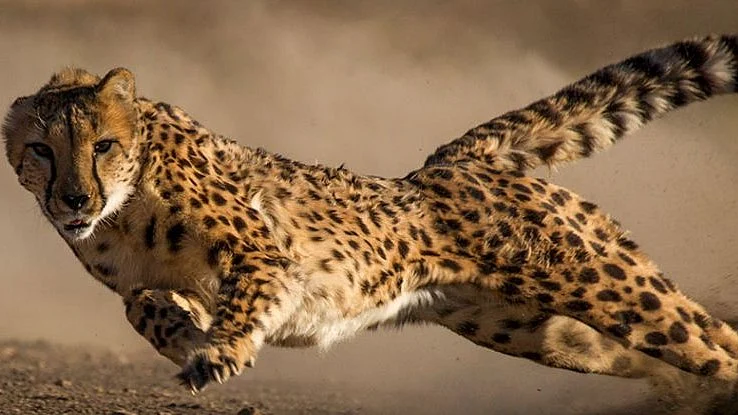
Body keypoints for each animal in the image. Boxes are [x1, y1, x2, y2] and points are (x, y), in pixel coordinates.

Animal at [4, 34, 738, 408]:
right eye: (41, 150)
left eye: (102, 145)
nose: (75, 200)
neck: (124, 212)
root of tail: (452, 163)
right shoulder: (145, 282)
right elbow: (142, 306)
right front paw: (184, 335)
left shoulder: (265, 258)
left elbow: (243, 299)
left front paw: (217, 351)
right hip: (540, 332)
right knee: (682, 354)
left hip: (609, 287)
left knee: (716, 341)